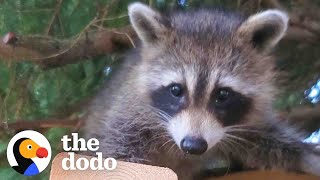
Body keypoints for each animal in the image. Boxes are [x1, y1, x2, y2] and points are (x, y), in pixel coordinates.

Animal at [84, 2, 320, 179]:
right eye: (176, 90)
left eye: (223, 94)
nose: (193, 145)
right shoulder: (130, 115)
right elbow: (119, 153)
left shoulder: (245, 119)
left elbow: (267, 140)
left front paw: (306, 156)